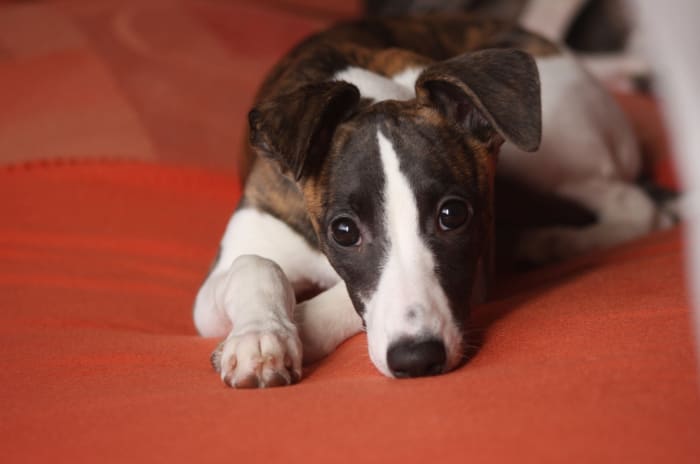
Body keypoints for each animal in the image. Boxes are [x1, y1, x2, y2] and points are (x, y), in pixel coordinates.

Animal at [193, 14, 672, 388]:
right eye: (343, 231)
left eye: (452, 215)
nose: (418, 359)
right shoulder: (224, 274)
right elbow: (256, 265)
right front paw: (259, 338)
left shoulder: (475, 269)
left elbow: (348, 299)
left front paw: (294, 331)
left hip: (547, 146)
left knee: (636, 205)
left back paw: (553, 241)